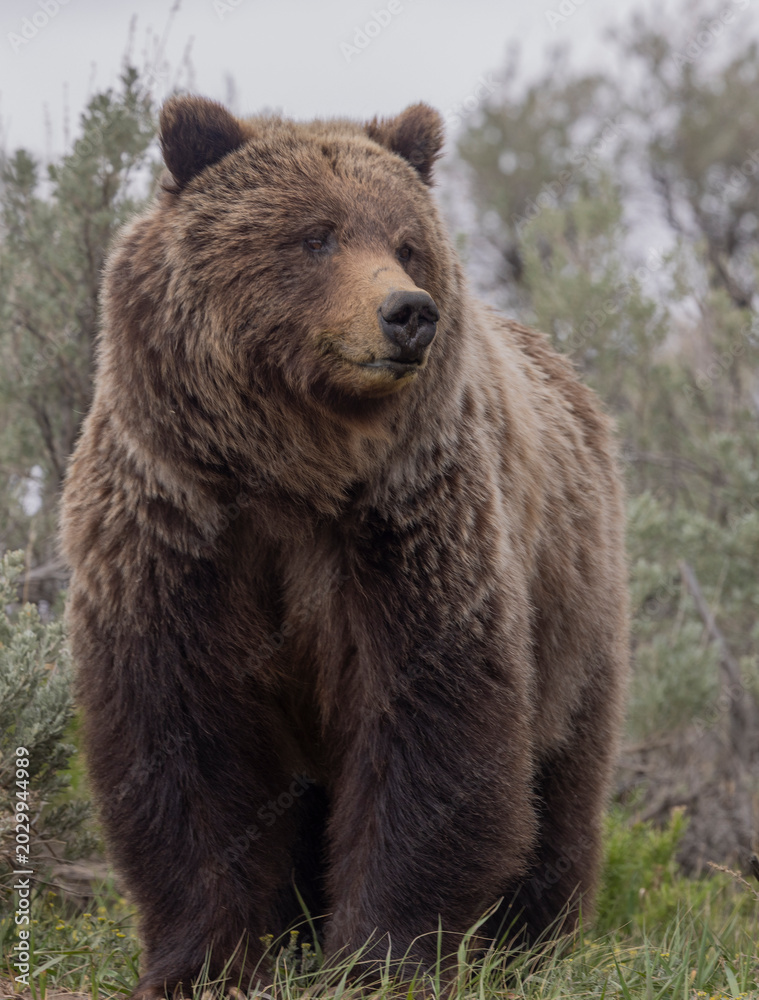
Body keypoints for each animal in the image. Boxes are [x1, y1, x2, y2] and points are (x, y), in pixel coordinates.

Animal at [59, 95, 629, 997]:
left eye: (404, 240)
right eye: (316, 234)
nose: (409, 312)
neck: (292, 471)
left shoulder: (406, 532)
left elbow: (430, 734)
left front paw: (379, 958)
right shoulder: (179, 532)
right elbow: (183, 745)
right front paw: (202, 963)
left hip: (572, 604)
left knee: (561, 774)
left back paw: (530, 941)